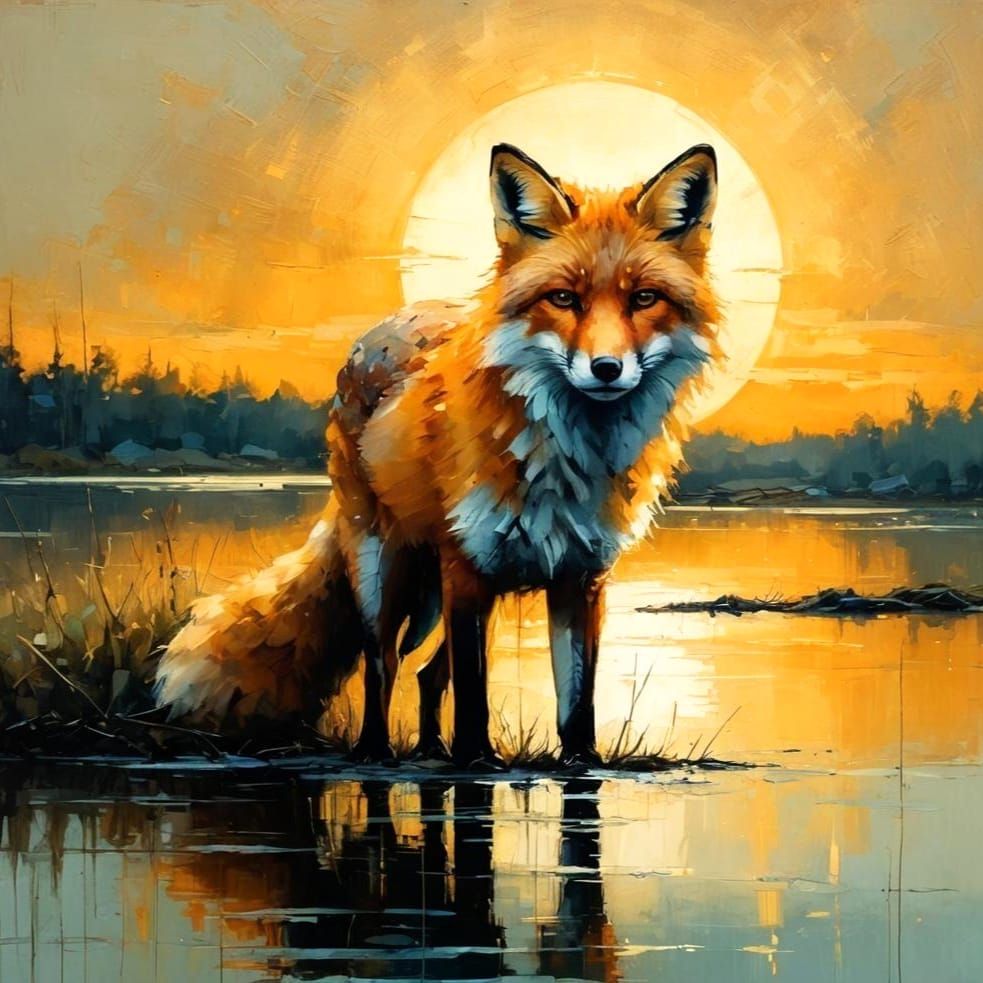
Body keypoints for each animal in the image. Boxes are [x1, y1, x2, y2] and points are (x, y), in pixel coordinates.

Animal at [154, 142, 721, 766]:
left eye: (643, 298)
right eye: (563, 299)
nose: (606, 369)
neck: (564, 459)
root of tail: (385, 326)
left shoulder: (579, 578)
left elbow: (577, 707)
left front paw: (579, 768)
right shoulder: (467, 569)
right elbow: (472, 699)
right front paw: (473, 761)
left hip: (436, 597)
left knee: (426, 673)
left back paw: (428, 749)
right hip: (389, 576)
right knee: (381, 665)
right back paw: (375, 751)